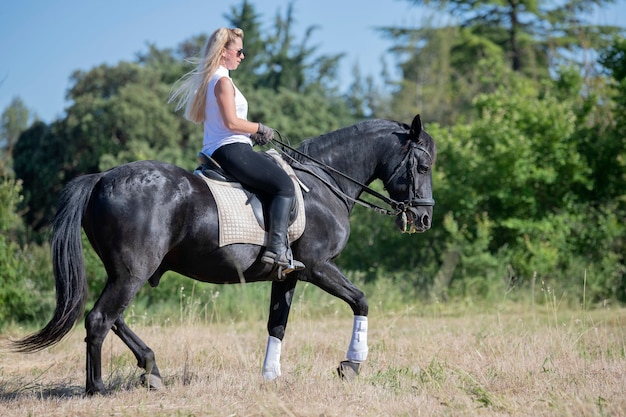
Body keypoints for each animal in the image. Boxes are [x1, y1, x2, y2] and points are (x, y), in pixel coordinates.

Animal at [13, 114, 434, 394]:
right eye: (424, 165)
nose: (424, 218)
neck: (323, 183)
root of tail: (101, 178)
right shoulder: (318, 267)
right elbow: (361, 300)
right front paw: (352, 364)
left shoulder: (290, 274)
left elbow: (277, 325)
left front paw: (270, 376)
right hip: (133, 271)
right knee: (101, 319)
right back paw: (97, 389)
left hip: (125, 272)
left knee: (111, 317)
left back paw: (151, 368)